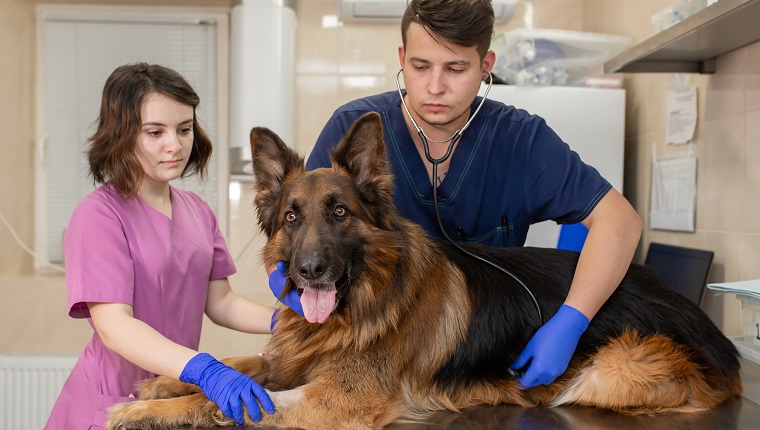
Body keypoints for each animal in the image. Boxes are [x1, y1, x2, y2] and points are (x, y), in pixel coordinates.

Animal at [108, 112, 744, 428]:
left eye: (339, 212)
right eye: (292, 216)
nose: (310, 271)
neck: (360, 306)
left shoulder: (333, 402)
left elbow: (223, 404)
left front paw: (144, 411)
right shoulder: (287, 363)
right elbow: (235, 370)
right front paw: (165, 381)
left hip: (609, 371)